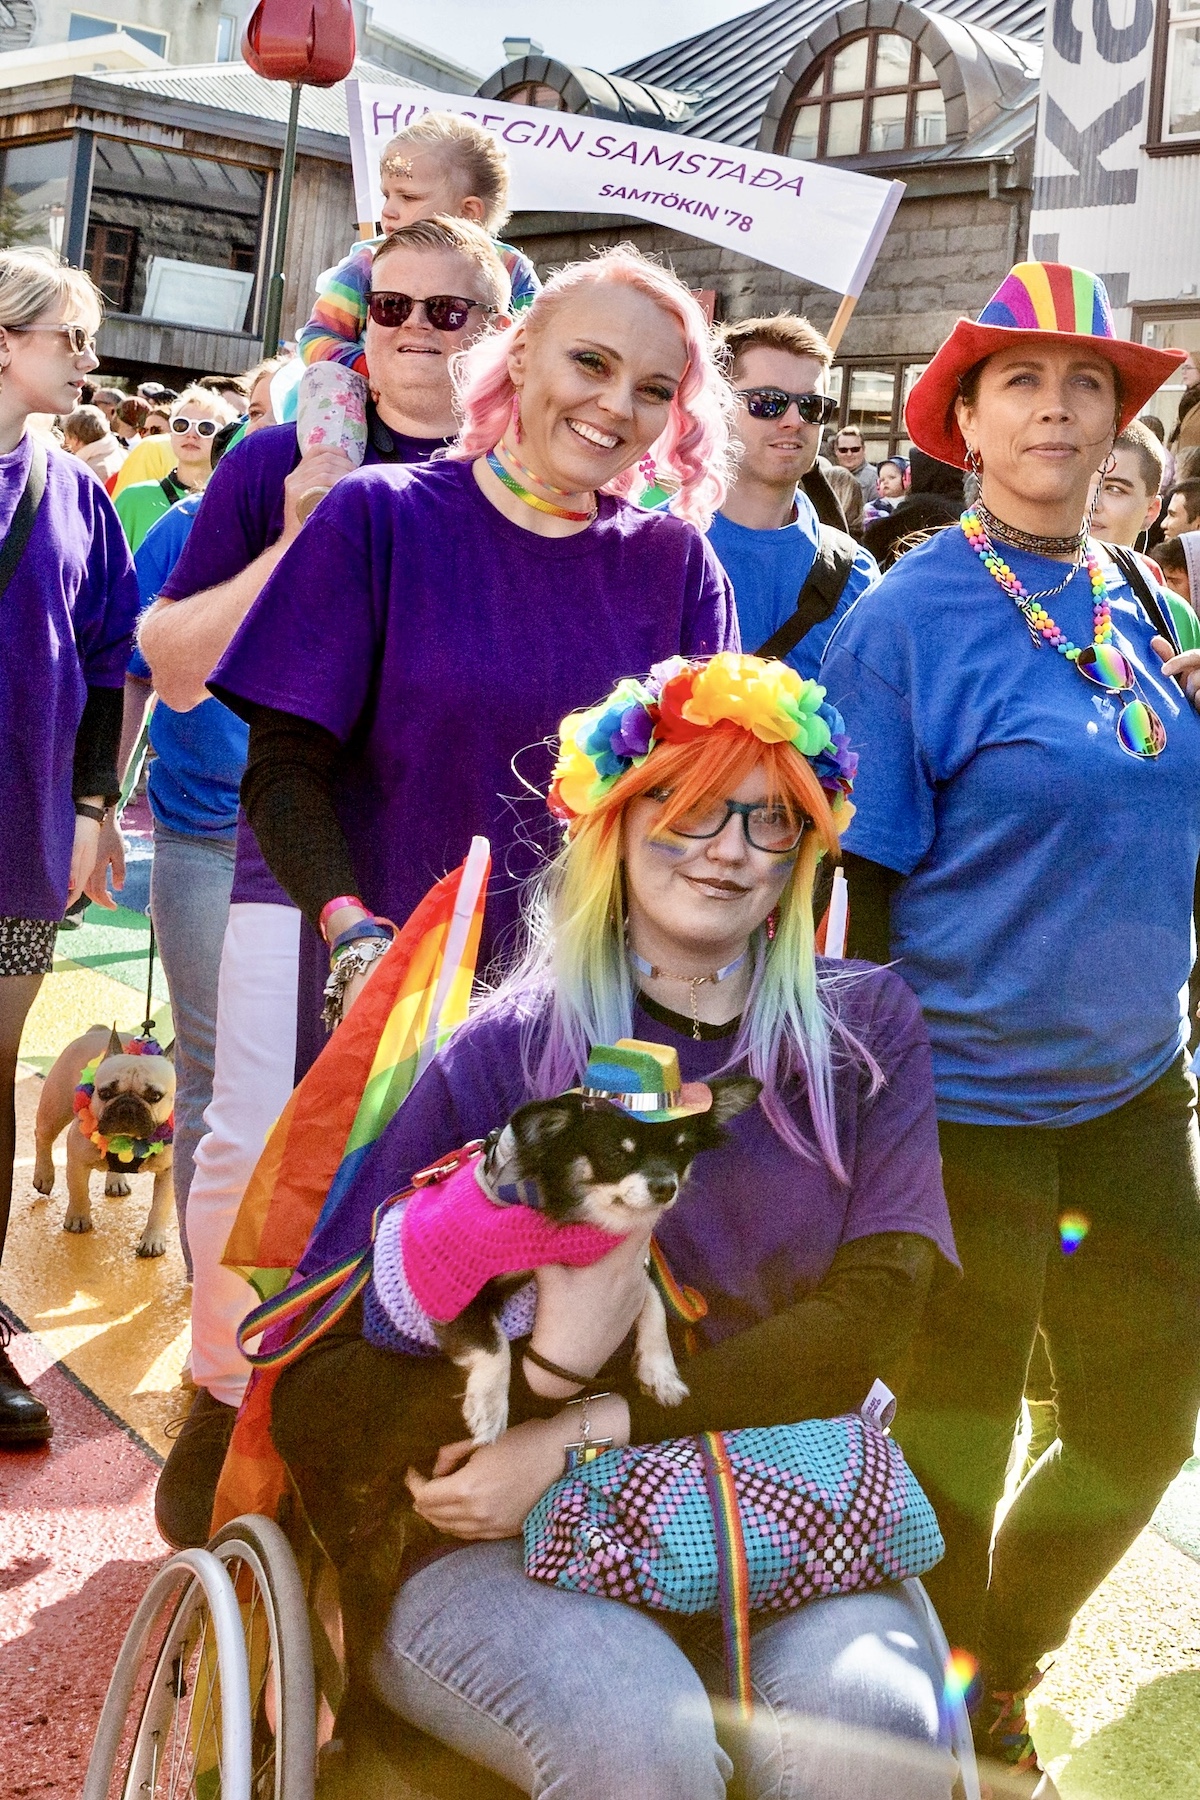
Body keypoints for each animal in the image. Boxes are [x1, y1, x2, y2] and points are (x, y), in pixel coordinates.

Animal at [33, 1025, 176, 1258]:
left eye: (155, 1096)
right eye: (105, 1092)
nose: (127, 1105)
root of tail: (99, 1029)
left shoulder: (168, 1172)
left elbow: (160, 1208)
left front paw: (153, 1240)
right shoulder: (77, 1160)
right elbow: (79, 1190)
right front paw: (78, 1219)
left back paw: (116, 1181)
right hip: (55, 1109)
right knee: (43, 1137)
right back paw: (43, 1176)